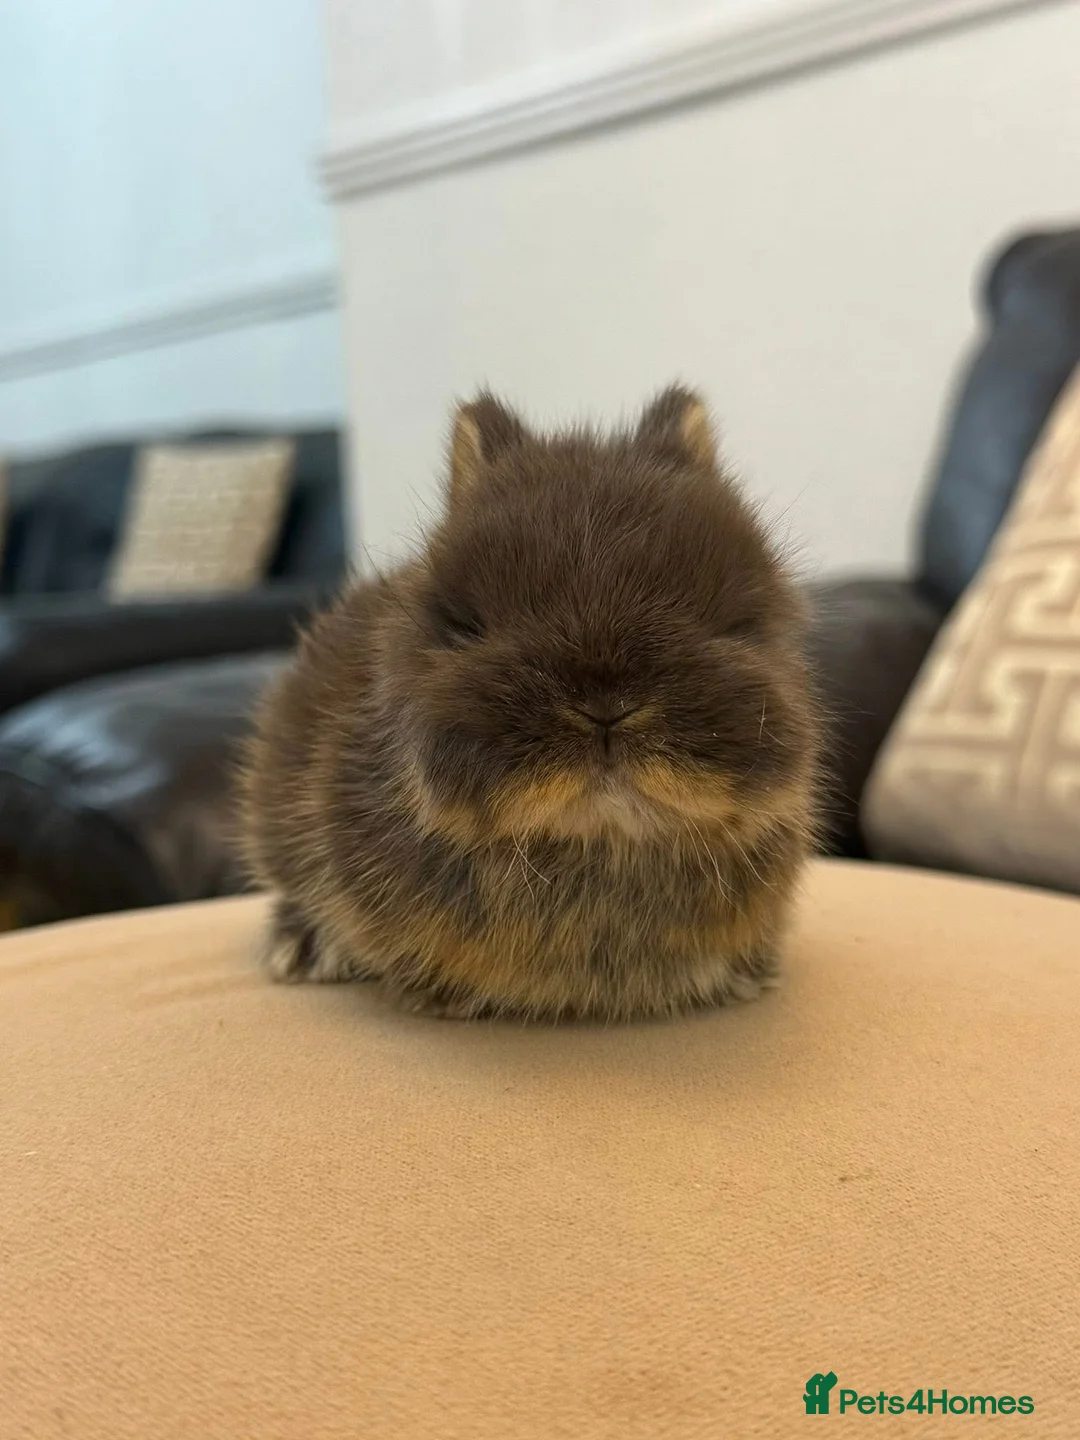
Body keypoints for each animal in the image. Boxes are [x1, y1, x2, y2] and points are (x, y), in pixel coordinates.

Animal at [239, 386, 821, 1022]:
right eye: (466, 625)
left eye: (735, 624)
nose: (605, 706)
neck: (601, 843)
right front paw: (439, 993)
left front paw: (747, 977)